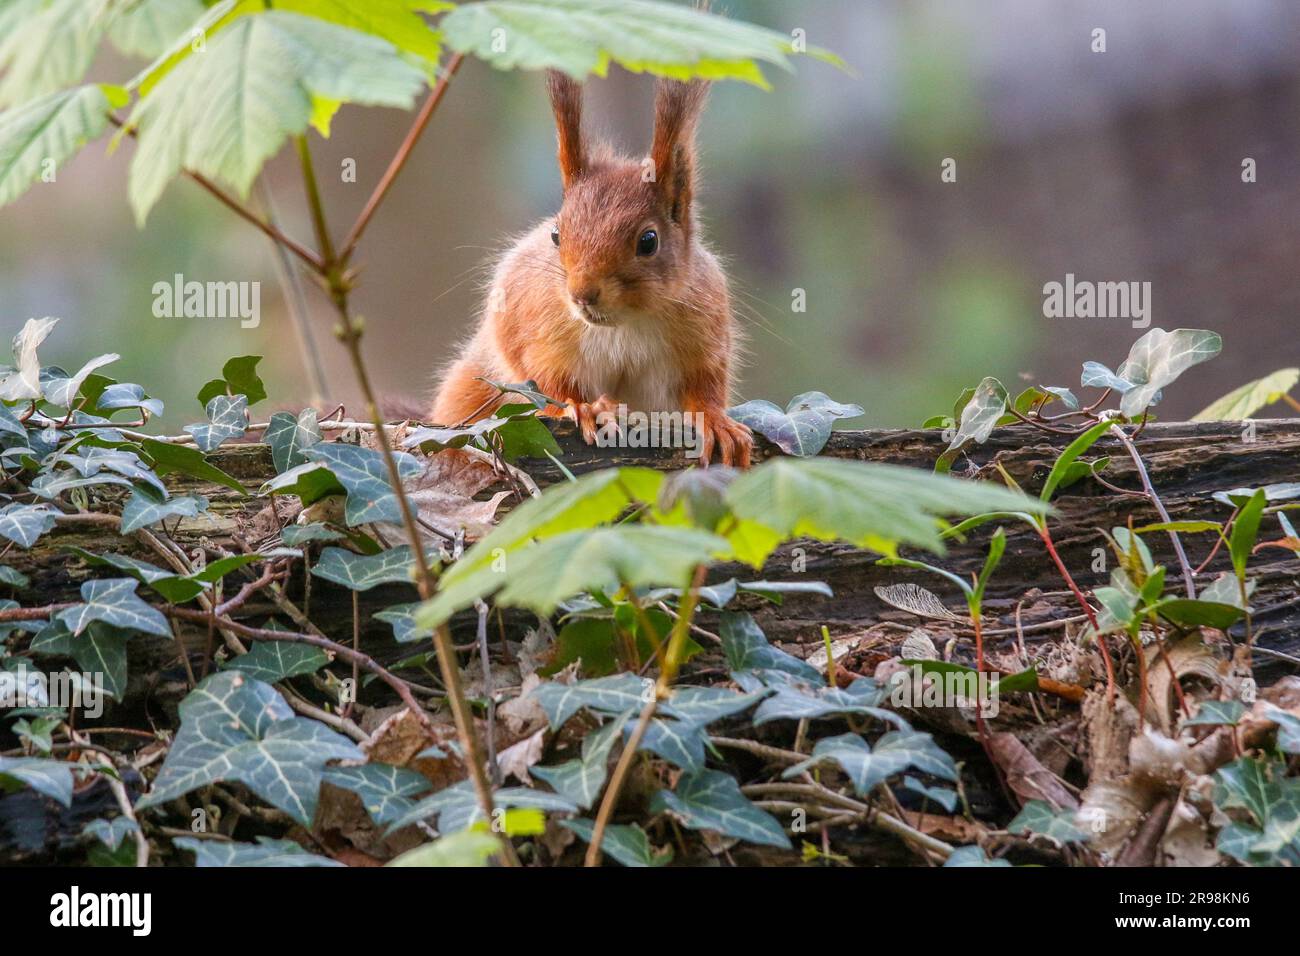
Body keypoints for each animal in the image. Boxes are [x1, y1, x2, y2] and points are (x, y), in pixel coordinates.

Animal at [429, 71, 753, 467]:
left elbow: (705, 385)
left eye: (649, 241)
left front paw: (715, 421)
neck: (623, 325)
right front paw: (581, 406)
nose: (582, 294)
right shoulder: (535, 323)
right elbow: (542, 374)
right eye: (556, 234)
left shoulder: (704, 333)